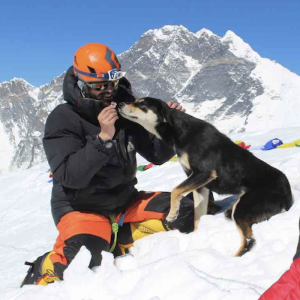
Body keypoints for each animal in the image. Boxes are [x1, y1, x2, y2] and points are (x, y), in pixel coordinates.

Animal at [118, 98, 294, 255]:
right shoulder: (200, 185)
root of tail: (287, 192)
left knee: (249, 241)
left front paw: (172, 213)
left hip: (242, 209)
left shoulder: (203, 173)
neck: (180, 132)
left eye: (142, 103)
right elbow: (198, 216)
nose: (119, 103)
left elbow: (175, 191)